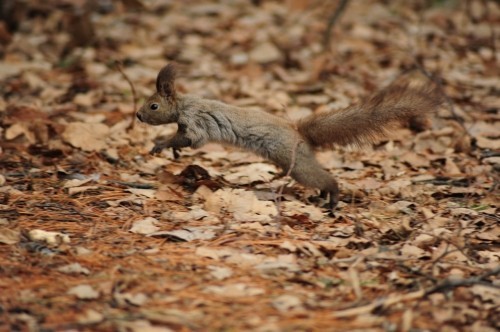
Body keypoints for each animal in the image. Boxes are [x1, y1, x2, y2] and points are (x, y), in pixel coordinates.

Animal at [137, 64, 442, 210]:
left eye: (153, 106)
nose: (138, 115)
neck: (183, 105)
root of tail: (299, 132)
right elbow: (181, 140)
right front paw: (173, 151)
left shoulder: (196, 122)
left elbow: (190, 138)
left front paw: (160, 145)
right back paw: (322, 196)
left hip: (294, 160)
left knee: (325, 178)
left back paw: (332, 197)